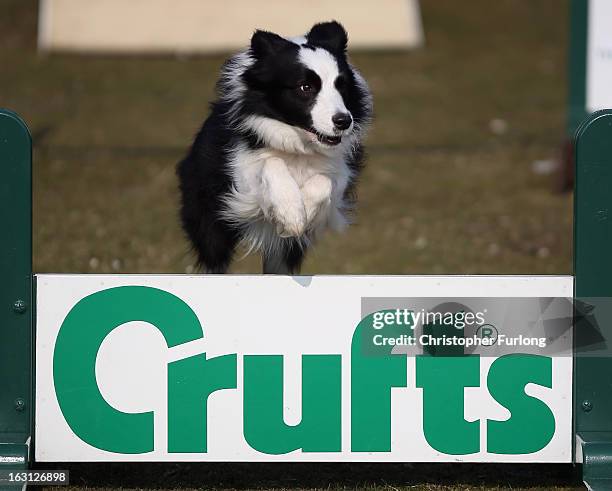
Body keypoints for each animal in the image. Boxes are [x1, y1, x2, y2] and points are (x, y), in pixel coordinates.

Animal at [175, 21, 370, 274]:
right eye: (305, 87)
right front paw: (291, 214)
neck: (298, 144)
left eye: (341, 85)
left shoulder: (341, 172)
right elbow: (271, 161)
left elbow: (325, 181)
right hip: (208, 215)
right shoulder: (239, 174)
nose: (344, 121)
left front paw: (304, 213)